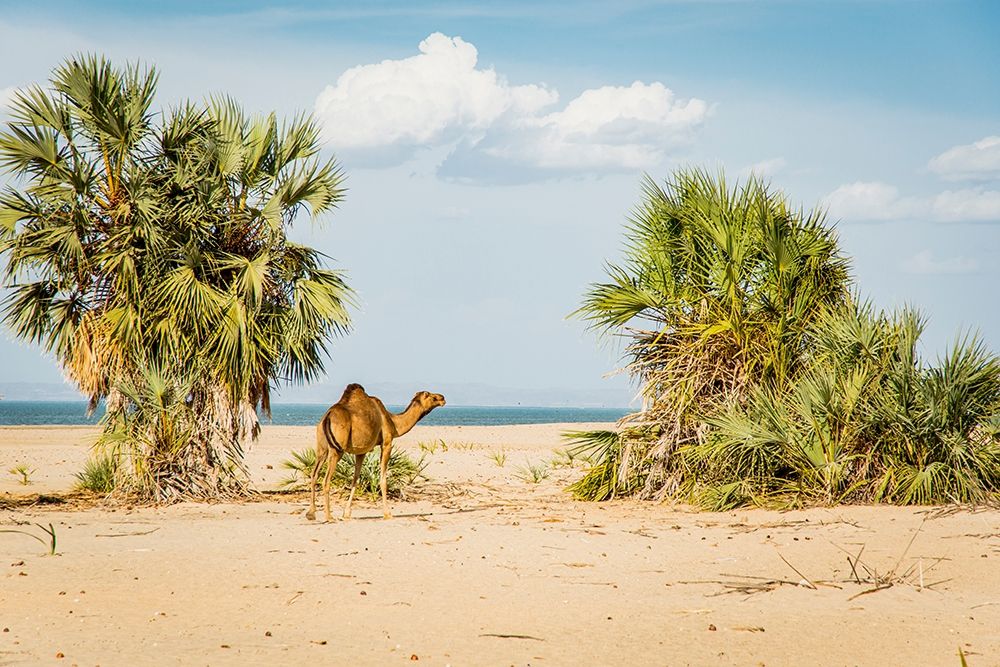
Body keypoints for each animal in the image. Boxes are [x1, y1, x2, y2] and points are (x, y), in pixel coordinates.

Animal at [305, 384, 446, 522]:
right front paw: (387, 514)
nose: (442, 398)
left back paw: (311, 513)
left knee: (314, 474)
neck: (393, 422)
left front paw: (346, 513)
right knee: (326, 479)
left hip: (322, 447)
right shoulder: (387, 443)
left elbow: (355, 479)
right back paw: (329, 517)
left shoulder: (361, 451)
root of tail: (327, 416)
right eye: (431, 396)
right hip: (337, 450)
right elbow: (383, 480)